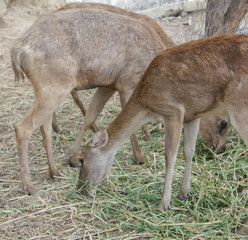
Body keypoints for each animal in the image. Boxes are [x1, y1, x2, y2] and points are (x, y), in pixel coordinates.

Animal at [78, 33, 248, 210]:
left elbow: (170, 156)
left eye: (81, 160)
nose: (80, 189)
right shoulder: (192, 116)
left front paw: (164, 204)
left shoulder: (172, 111)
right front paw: (183, 193)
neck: (147, 104)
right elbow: (189, 151)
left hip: (239, 105)